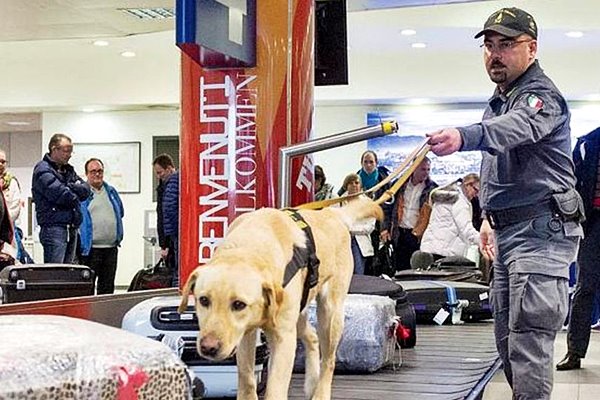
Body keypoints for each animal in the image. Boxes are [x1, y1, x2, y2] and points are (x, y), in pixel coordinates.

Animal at [180, 198, 382, 400]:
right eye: (203, 300)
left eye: (239, 304)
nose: (208, 347)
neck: (248, 248)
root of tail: (331, 213)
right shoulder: (246, 335)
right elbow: (247, 380)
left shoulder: (283, 337)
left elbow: (275, 389)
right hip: (299, 315)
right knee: (312, 336)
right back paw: (311, 382)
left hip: (329, 314)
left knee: (329, 359)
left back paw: (320, 392)